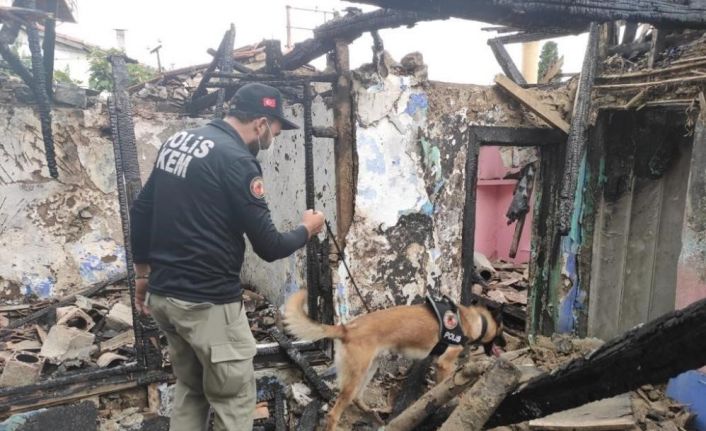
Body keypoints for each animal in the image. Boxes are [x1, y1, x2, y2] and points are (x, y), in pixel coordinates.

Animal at [284, 290, 504, 431]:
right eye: (501, 331)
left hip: (369, 369)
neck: (472, 320)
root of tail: (346, 328)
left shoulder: (436, 362)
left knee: (356, 397)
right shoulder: (445, 364)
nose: (504, 346)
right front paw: (451, 402)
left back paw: (374, 415)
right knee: (333, 414)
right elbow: (448, 388)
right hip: (356, 375)